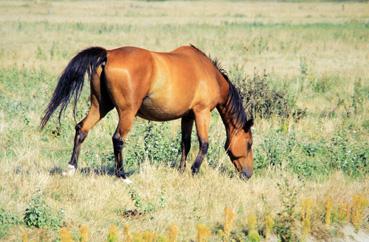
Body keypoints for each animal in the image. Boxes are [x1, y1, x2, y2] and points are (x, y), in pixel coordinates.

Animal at [40, 44, 253, 182]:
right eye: (249, 144)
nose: (248, 174)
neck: (210, 74)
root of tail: (108, 54)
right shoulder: (202, 112)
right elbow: (204, 143)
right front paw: (193, 170)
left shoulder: (187, 116)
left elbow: (185, 143)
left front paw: (182, 170)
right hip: (127, 112)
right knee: (118, 139)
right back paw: (122, 176)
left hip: (100, 106)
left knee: (81, 129)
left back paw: (71, 168)